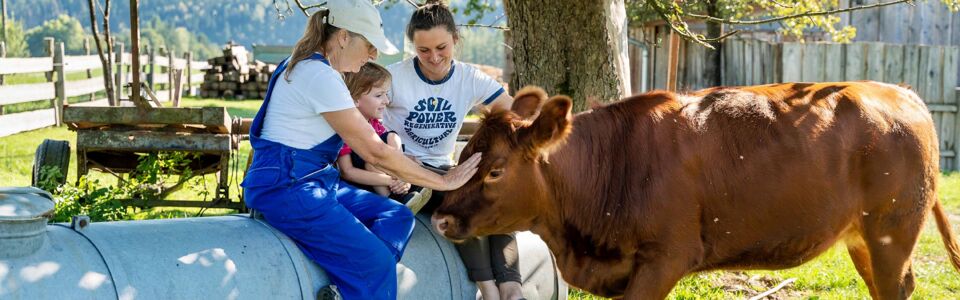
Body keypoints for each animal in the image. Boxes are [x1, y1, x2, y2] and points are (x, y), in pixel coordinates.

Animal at [432, 81, 960, 298]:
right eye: (463, 152)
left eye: (495, 170)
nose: (440, 217)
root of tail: (897, 91)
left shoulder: (663, 259)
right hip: (863, 238)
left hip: (892, 232)